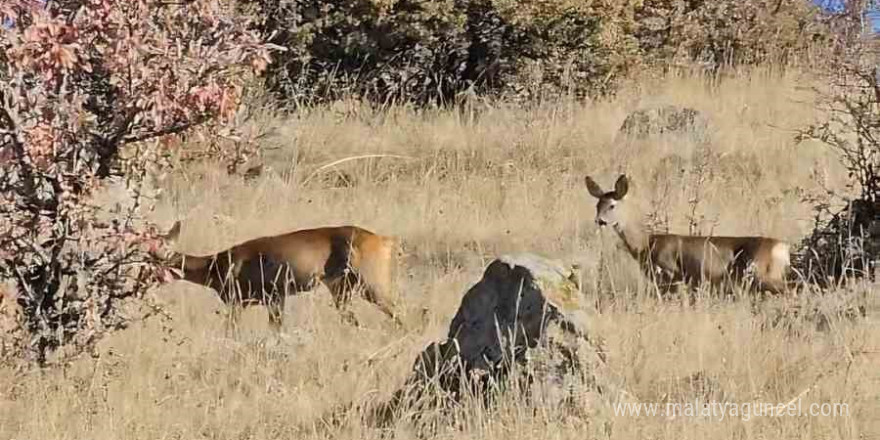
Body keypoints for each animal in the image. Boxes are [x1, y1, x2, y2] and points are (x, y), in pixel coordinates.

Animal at [160, 220, 400, 330]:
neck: (218, 264)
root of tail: (384, 240)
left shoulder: (261, 299)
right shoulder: (272, 301)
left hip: (372, 285)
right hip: (342, 290)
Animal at [584, 175, 792, 296]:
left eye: (612, 205)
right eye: (597, 205)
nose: (599, 221)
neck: (645, 245)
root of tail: (782, 247)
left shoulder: (671, 275)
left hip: (761, 274)